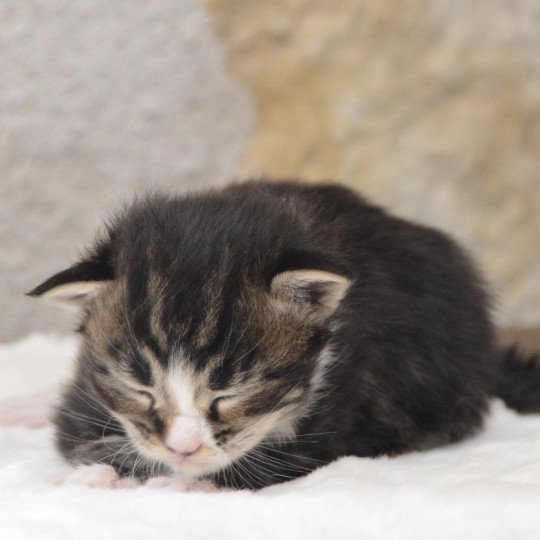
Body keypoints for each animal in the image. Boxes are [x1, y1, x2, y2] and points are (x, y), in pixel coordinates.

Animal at [29, 180, 540, 490]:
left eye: (231, 394)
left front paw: (160, 482)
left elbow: (237, 471)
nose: (183, 448)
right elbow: (82, 436)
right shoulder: (86, 397)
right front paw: (95, 473)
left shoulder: (332, 423)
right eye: (140, 389)